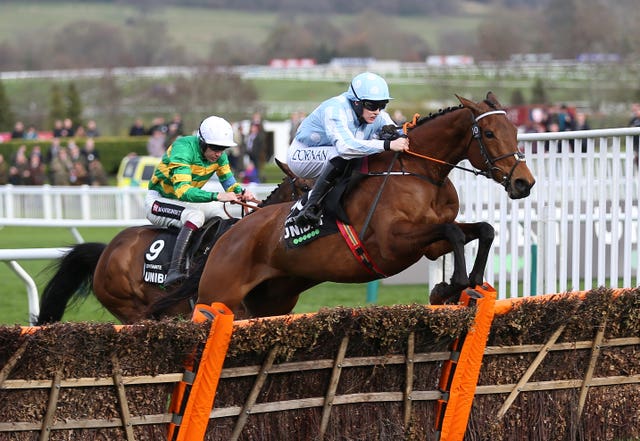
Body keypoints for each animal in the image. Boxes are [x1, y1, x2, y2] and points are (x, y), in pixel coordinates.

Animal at [155, 93, 536, 320]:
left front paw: (469, 282)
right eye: (489, 134)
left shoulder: (429, 245)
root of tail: (227, 235)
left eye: (516, 130)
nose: (524, 182)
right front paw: (455, 283)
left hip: (267, 302)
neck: (421, 172)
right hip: (217, 294)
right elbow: (454, 231)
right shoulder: (392, 243)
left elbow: (481, 229)